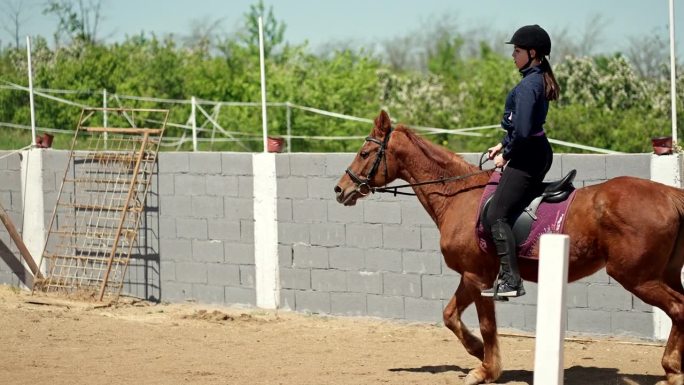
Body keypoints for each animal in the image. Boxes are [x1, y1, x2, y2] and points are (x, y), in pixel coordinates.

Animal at [334, 110, 684, 384]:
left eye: (365, 153)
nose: (340, 189)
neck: (460, 196)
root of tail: (668, 194)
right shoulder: (472, 276)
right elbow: (449, 315)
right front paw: (476, 352)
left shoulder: (478, 277)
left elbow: (487, 325)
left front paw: (485, 369)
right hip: (663, 274)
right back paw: (673, 367)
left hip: (637, 276)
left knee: (678, 309)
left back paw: (672, 369)